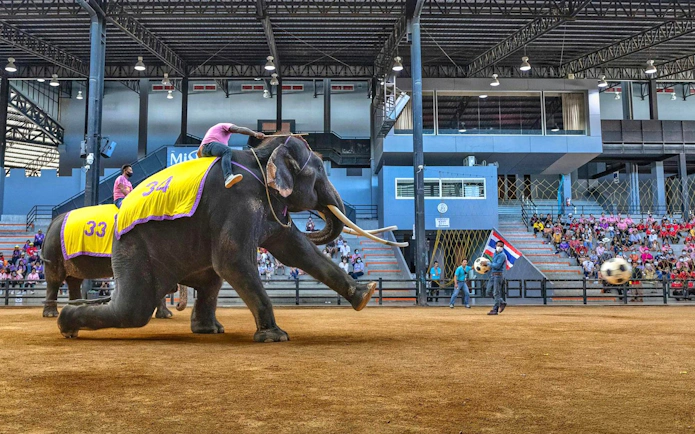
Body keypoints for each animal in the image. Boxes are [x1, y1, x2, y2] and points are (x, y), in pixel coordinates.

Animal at [41, 213, 188, 318]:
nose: (178, 304)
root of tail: (53, 221)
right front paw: (165, 315)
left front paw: (166, 315)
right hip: (54, 250)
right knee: (54, 279)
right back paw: (51, 314)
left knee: (74, 280)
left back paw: (75, 307)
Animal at [57, 135, 404, 341]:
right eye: (319, 173)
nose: (317, 216)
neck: (262, 157)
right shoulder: (238, 201)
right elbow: (234, 260)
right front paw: (275, 336)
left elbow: (296, 250)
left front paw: (365, 295)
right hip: (134, 247)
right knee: (132, 310)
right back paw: (66, 322)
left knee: (208, 283)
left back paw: (208, 330)